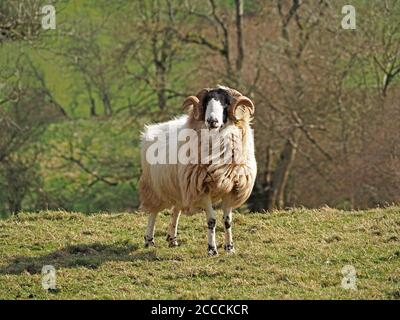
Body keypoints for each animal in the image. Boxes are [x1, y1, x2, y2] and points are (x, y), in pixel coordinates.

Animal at [138, 85, 256, 255]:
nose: (212, 121)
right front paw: (212, 250)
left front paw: (230, 248)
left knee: (175, 210)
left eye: (226, 103)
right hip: (153, 186)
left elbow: (227, 221)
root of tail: (151, 129)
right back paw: (149, 240)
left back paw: (172, 239)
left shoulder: (233, 187)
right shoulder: (201, 188)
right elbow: (211, 220)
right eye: (206, 102)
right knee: (153, 212)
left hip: (180, 187)